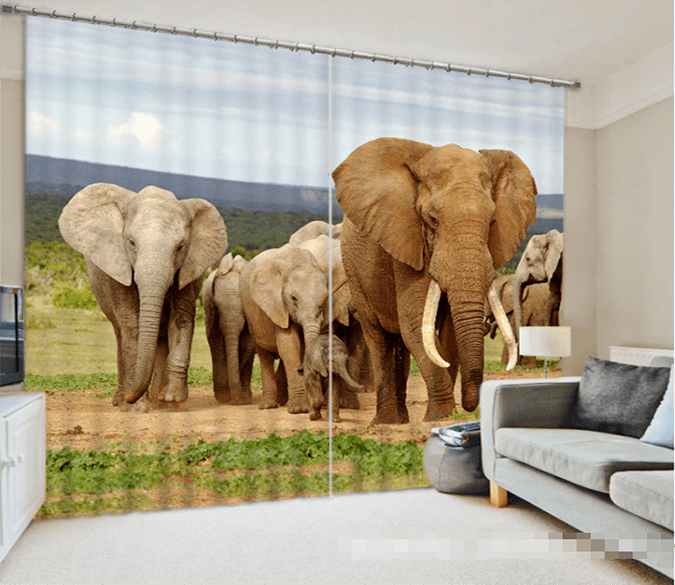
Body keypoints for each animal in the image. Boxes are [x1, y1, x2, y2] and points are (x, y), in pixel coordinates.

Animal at [58, 183, 228, 410]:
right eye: (131, 243)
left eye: (180, 247)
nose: (132, 397)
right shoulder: (118, 267)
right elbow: (132, 324)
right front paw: (136, 407)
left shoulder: (187, 270)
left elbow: (181, 320)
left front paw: (173, 398)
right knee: (119, 332)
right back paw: (122, 400)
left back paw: (158, 400)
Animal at [203, 253, 256, 405]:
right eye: (217, 306)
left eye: (244, 307)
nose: (235, 401)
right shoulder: (210, 310)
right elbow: (217, 344)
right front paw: (224, 398)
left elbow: (247, 346)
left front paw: (244, 399)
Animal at [239, 244, 336, 413]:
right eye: (294, 299)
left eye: (325, 300)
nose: (301, 369)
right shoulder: (279, 305)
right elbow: (288, 346)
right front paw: (299, 409)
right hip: (252, 318)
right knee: (264, 354)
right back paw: (268, 405)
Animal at [333, 138, 536, 423]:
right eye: (431, 219)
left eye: (493, 221)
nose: (472, 406)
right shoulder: (406, 241)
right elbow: (416, 321)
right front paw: (441, 417)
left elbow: (448, 331)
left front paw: (438, 417)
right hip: (354, 271)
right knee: (379, 337)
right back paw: (386, 422)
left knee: (400, 344)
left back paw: (402, 419)